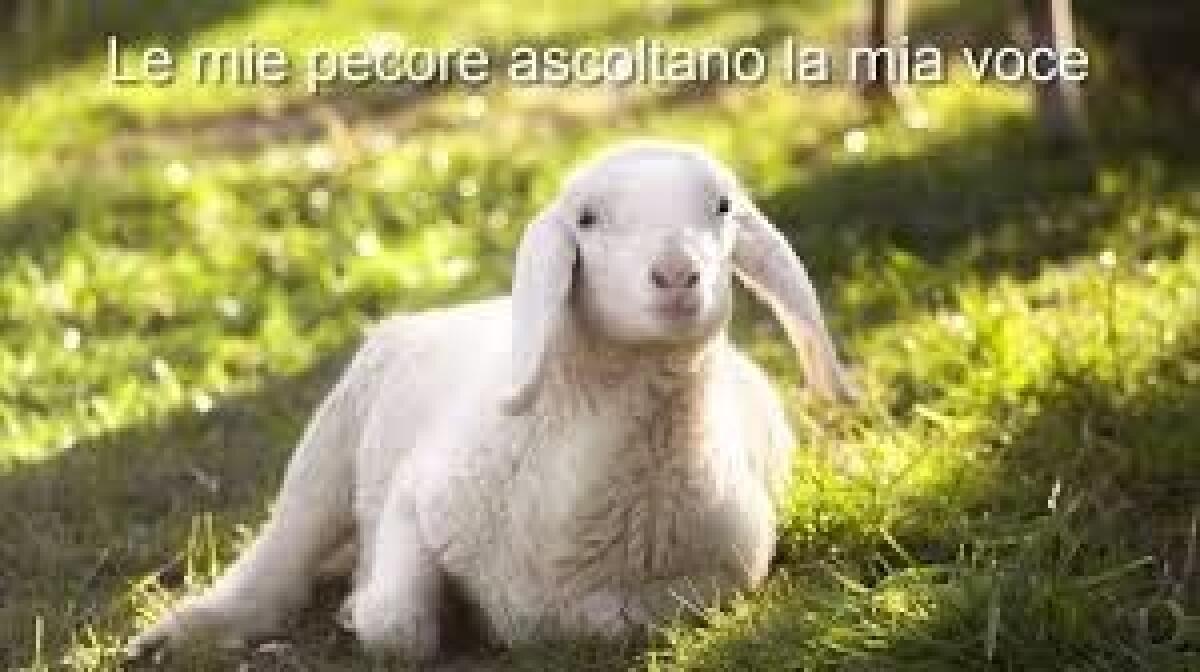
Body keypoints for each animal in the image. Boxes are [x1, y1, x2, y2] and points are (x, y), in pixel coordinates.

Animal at [127, 140, 857, 662]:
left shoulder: (715, 581)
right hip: (332, 442)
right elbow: (399, 628)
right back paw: (185, 631)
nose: (678, 275)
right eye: (587, 219)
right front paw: (364, 608)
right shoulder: (414, 497)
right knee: (281, 555)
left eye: (723, 207)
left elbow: (592, 618)